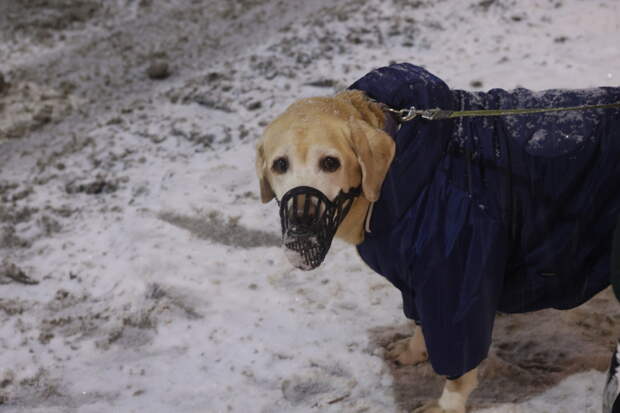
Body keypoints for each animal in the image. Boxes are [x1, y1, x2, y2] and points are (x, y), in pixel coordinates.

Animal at [256, 62, 620, 410]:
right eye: (280, 165)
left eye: (331, 163)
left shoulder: (456, 276)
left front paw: (448, 404)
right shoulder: (415, 279)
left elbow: (457, 361)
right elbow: (419, 324)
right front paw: (414, 352)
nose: (301, 226)